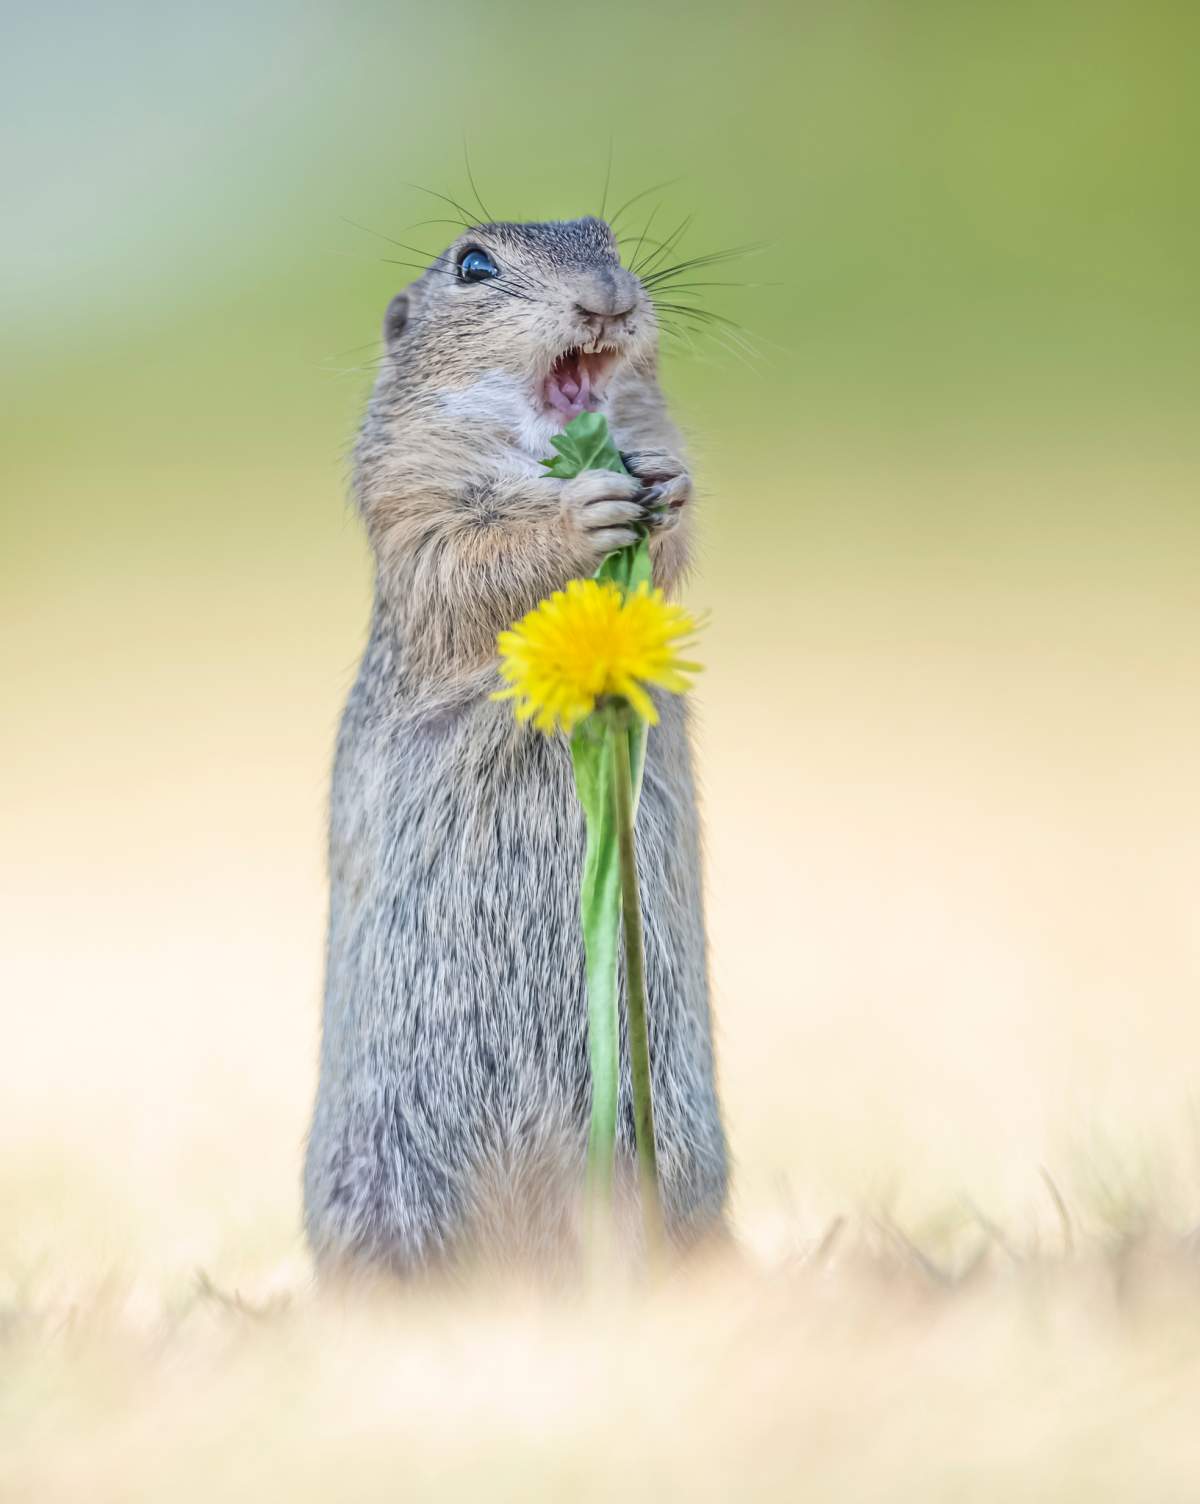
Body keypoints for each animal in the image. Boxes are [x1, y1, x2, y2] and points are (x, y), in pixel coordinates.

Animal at [303, 215, 729, 1276]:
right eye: (474, 266)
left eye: (608, 237)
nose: (607, 296)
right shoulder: (413, 509)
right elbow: (469, 559)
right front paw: (580, 516)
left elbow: (667, 550)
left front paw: (667, 484)